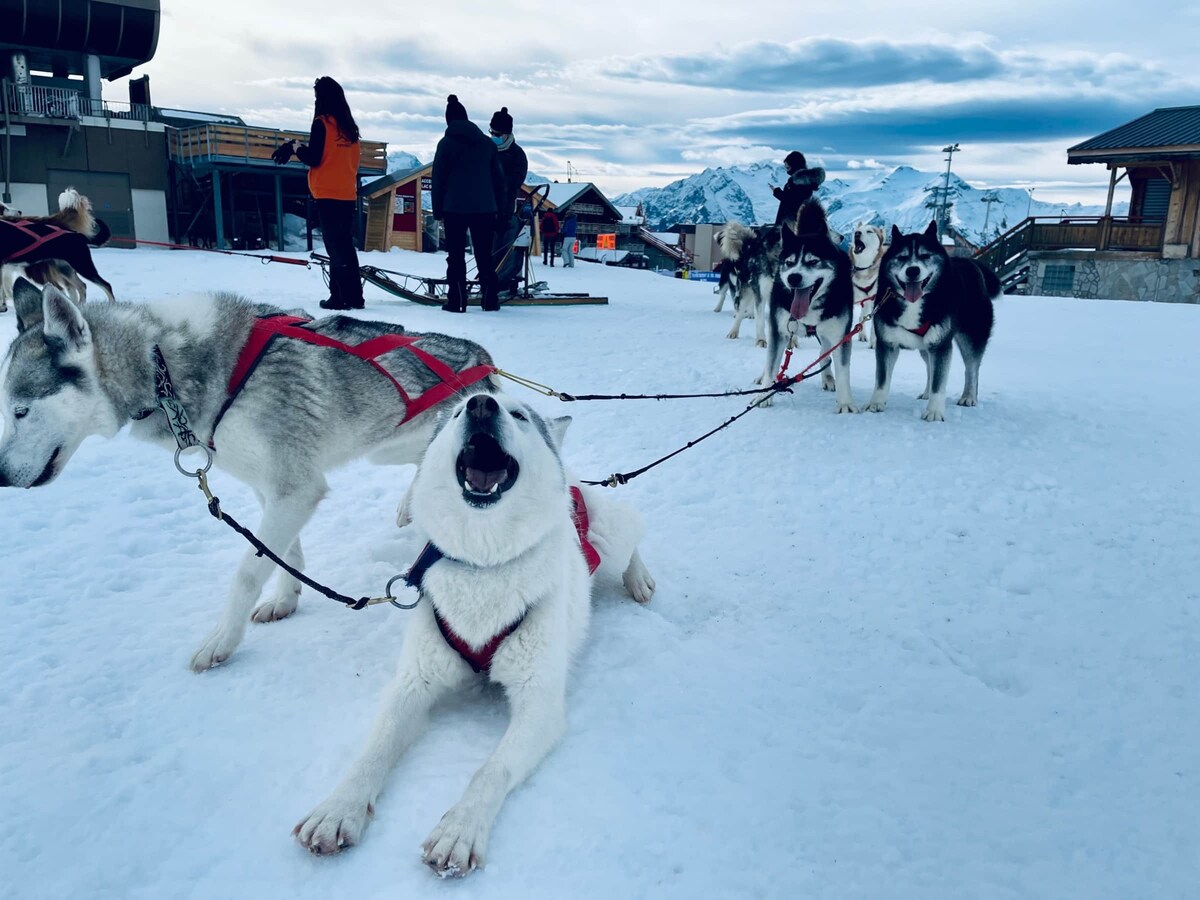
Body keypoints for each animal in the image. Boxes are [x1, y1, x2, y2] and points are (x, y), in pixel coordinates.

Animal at [0, 282, 496, 672]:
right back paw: (409, 503)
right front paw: (286, 600)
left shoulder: (295, 490)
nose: (2, 476)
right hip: (385, 449)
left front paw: (222, 640)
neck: (163, 364)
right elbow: (283, 555)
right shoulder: (273, 489)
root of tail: (482, 356)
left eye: (20, 410)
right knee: (420, 466)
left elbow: (247, 571)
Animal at [297, 393, 657, 883]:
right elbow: (374, 750)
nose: (481, 404)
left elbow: (490, 770)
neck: (485, 564)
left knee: (633, 540)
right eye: (455, 412)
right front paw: (338, 808)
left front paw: (460, 830)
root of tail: (576, 481)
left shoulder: (539, 704)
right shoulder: (412, 684)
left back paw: (639, 578)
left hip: (612, 535)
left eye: (520, 414)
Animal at [868, 224, 998, 424]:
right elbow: (882, 379)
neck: (914, 304)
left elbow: (939, 382)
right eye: (902, 257)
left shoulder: (941, 345)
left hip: (971, 338)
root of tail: (972, 264)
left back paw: (969, 396)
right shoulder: (887, 343)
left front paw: (935, 412)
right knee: (930, 366)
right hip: (925, 346)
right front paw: (876, 403)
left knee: (972, 368)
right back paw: (927, 393)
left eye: (925, 255)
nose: (912, 270)